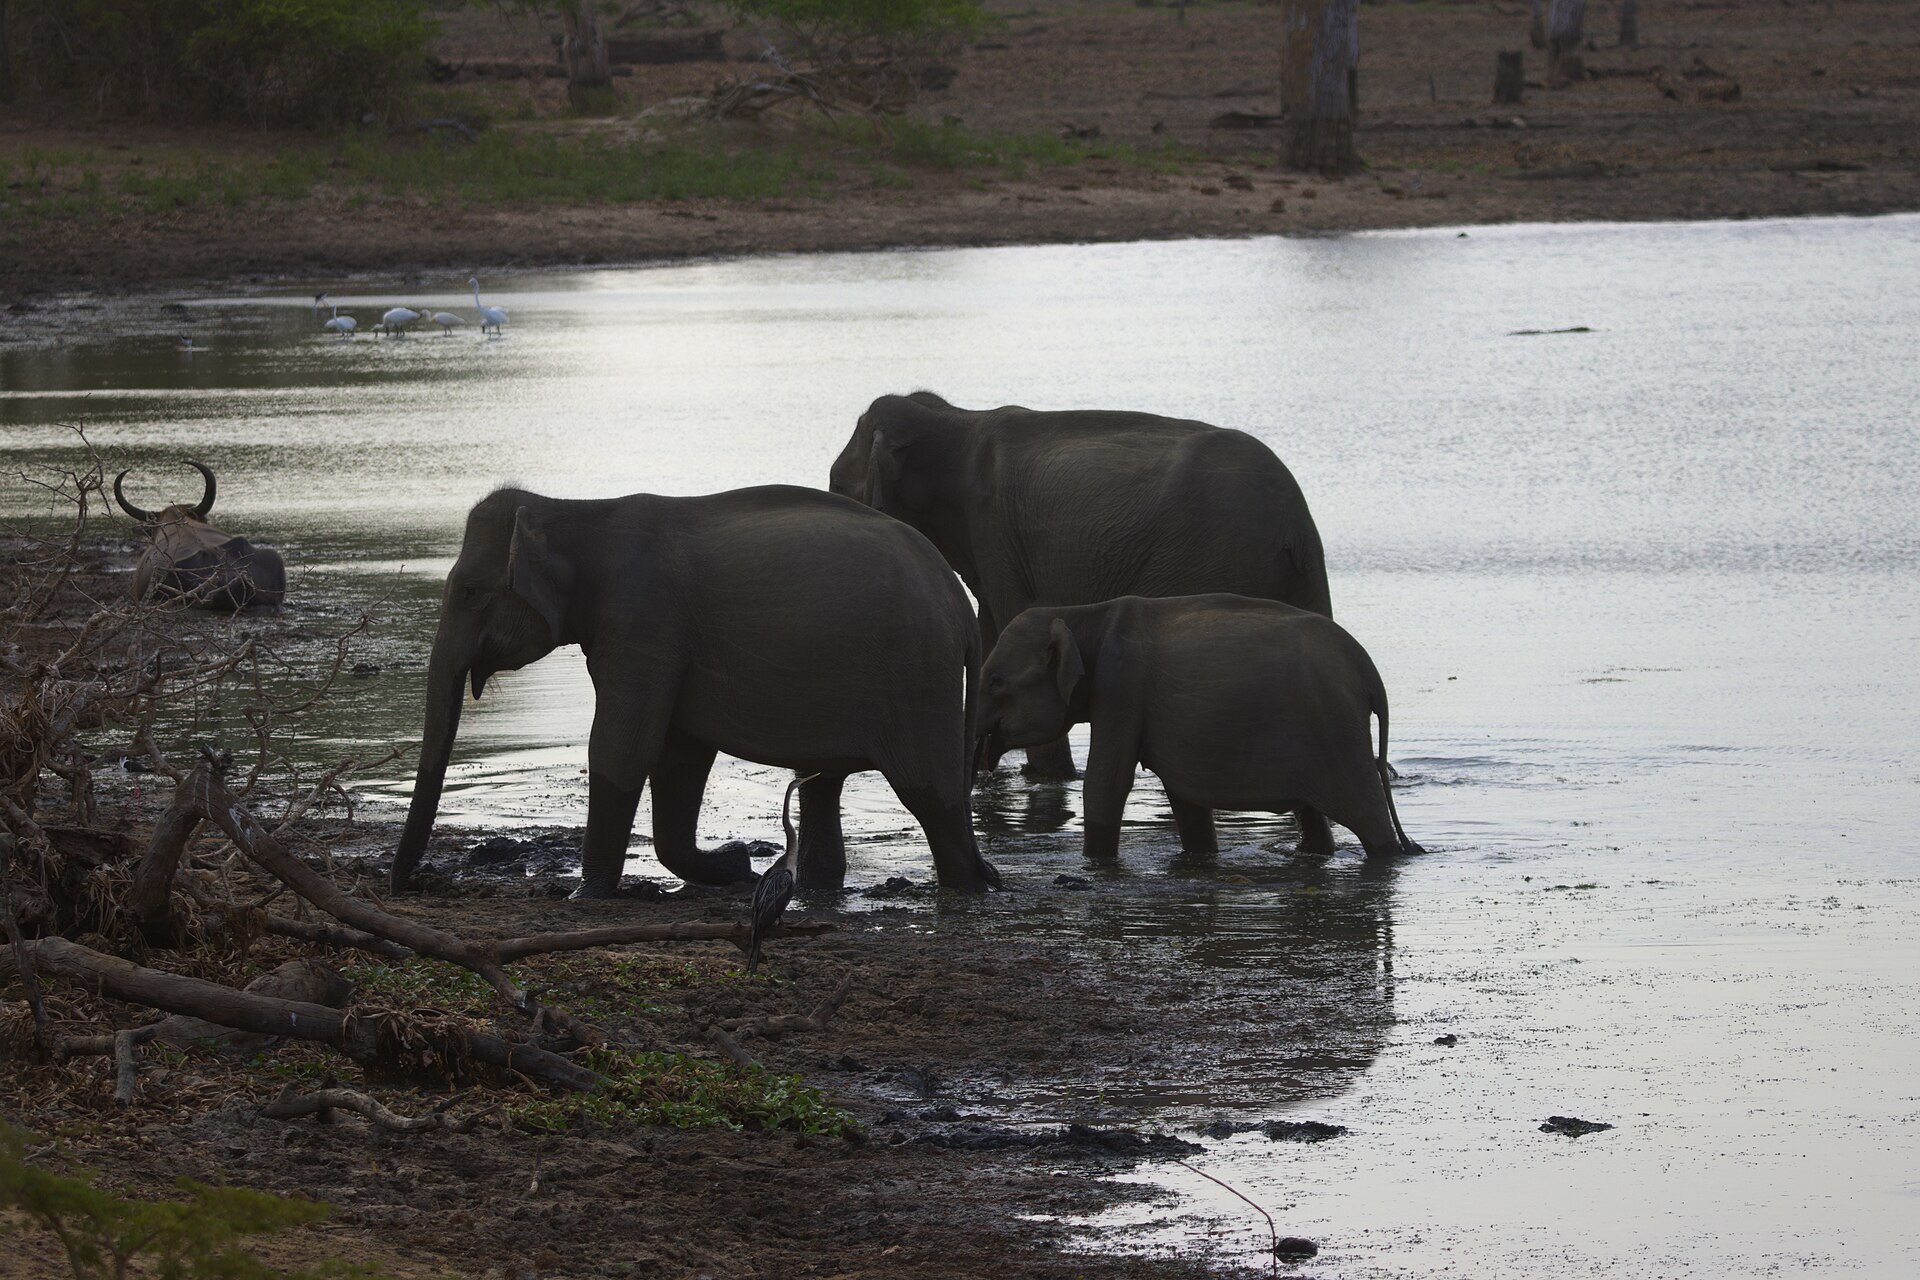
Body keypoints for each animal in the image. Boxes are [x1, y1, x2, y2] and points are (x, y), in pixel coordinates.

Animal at [390, 484, 999, 897]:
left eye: (470, 592)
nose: (406, 883)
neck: (576, 509)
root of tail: (958, 601)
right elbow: (679, 755)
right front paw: (735, 866)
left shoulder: (643, 623)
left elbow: (622, 746)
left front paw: (585, 897)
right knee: (824, 785)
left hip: (917, 676)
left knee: (928, 792)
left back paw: (975, 883)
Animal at [828, 392, 1332, 795]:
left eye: (837, 485)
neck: (951, 419)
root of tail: (1295, 524)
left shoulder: (995, 531)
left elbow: (1012, 623)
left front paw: (1049, 779)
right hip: (1298, 574)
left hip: (1211, 556)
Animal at [975, 594, 1424, 863]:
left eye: (996, 681)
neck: (1081, 614)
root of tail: (1369, 674)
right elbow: (1184, 796)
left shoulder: (1120, 689)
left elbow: (1106, 783)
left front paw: (1097, 863)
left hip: (1337, 732)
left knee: (1368, 817)